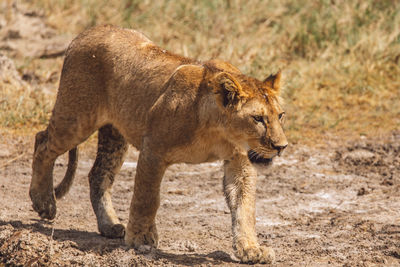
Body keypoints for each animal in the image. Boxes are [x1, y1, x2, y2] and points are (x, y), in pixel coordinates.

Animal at [30, 24, 288, 264]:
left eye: (280, 115)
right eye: (258, 118)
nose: (281, 146)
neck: (218, 132)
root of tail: (90, 30)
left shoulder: (239, 162)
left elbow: (244, 207)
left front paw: (251, 249)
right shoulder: (153, 149)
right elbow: (147, 197)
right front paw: (140, 238)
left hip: (114, 134)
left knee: (98, 175)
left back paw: (110, 225)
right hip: (76, 118)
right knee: (43, 143)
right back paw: (44, 202)